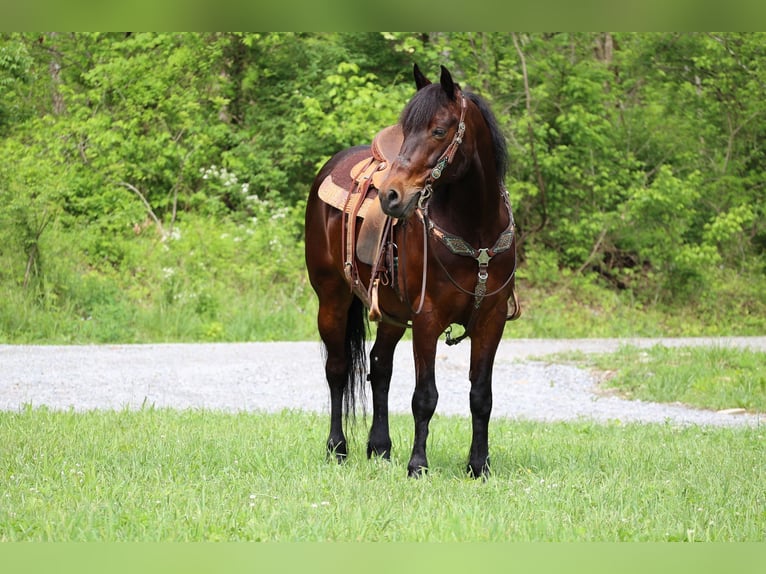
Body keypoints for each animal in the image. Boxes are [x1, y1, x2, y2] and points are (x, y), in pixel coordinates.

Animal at [304, 65, 520, 480]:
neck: (476, 230)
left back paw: (379, 447)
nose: (391, 195)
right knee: (337, 369)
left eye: (439, 130)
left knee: (378, 366)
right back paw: (337, 447)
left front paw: (478, 465)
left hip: (389, 312)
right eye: (406, 130)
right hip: (332, 298)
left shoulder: (492, 319)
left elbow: (481, 395)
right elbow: (425, 396)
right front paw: (418, 464)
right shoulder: (427, 319)